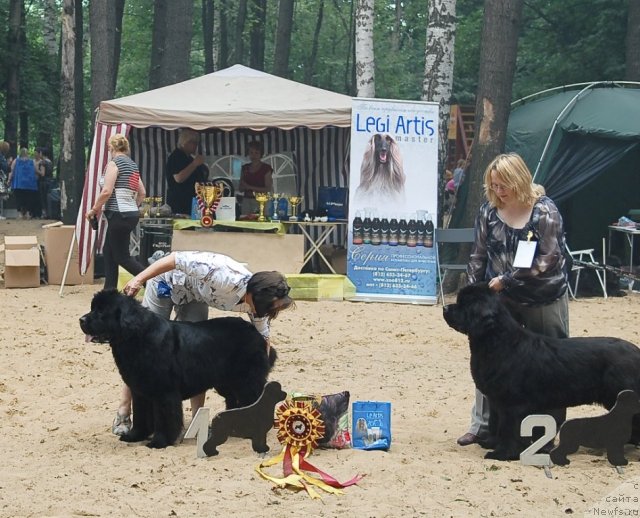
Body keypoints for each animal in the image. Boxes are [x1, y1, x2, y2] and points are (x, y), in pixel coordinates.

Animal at [79, 290, 276, 448]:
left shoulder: (163, 393)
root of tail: (255, 332)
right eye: (92, 308)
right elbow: (141, 415)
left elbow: (163, 419)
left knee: (253, 400)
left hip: (246, 381)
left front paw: (158, 442)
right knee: (234, 401)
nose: (81, 319)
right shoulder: (140, 391)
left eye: (101, 311)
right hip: (226, 383)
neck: (136, 338)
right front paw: (135, 436)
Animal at [442, 284, 640, 464]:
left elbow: (509, 429)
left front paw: (502, 454)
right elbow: (496, 423)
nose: (445, 308)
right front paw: (491, 444)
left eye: (464, 304)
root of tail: (636, 352)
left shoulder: (512, 404)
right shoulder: (497, 400)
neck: (498, 342)